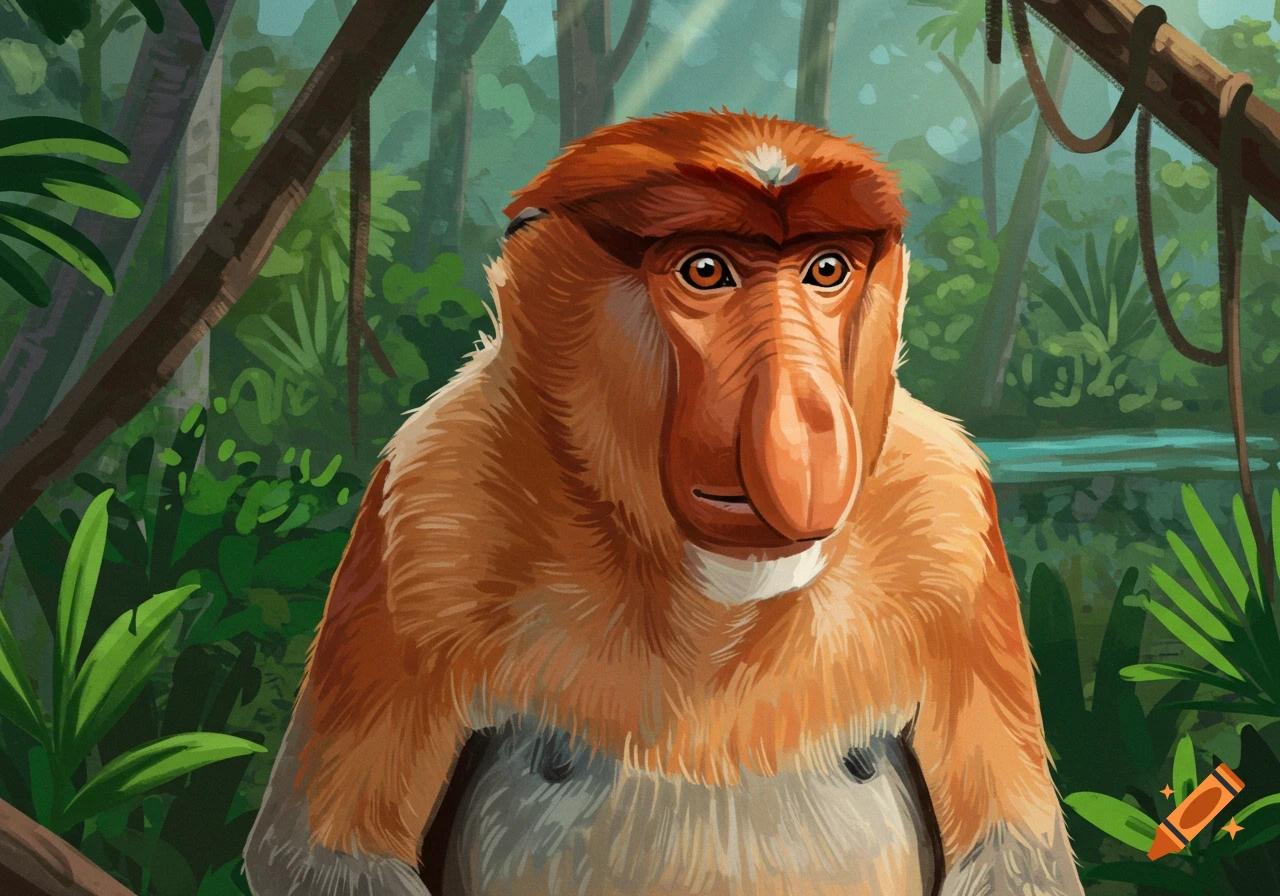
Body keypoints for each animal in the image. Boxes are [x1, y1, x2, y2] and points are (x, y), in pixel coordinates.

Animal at [243, 110, 1085, 896]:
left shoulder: (952, 524)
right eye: (706, 270)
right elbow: (326, 853)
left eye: (826, 269)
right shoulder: (428, 504)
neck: (713, 592)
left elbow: (1015, 852)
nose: (811, 426)